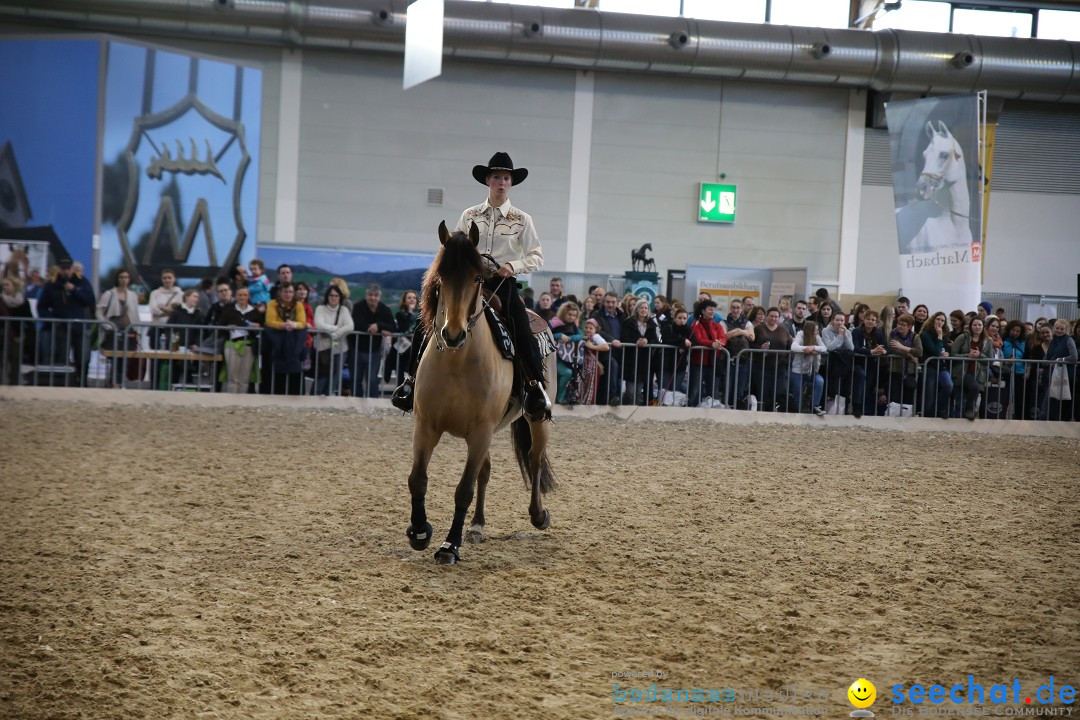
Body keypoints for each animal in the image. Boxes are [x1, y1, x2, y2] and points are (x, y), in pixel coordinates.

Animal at [406, 222, 557, 565]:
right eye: (440, 278)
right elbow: (417, 480)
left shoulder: (480, 431)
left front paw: (449, 545)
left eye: (477, 278)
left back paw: (538, 515)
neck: (457, 362)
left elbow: (463, 489)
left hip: (534, 419)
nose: (453, 333)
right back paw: (476, 525)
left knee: (534, 458)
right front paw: (420, 532)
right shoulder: (426, 425)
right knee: (486, 472)